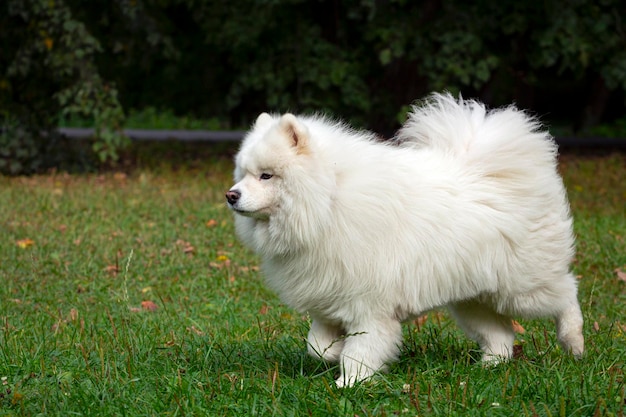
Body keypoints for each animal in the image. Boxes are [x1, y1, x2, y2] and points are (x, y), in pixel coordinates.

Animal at [227, 92, 584, 386]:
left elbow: (360, 351)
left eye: (266, 176)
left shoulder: (369, 306)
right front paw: (336, 355)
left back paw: (574, 343)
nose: (231, 195)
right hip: (472, 298)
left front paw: (350, 383)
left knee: (566, 294)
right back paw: (489, 365)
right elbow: (318, 347)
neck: (329, 202)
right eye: (243, 174)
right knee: (501, 335)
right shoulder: (327, 301)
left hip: (522, 287)